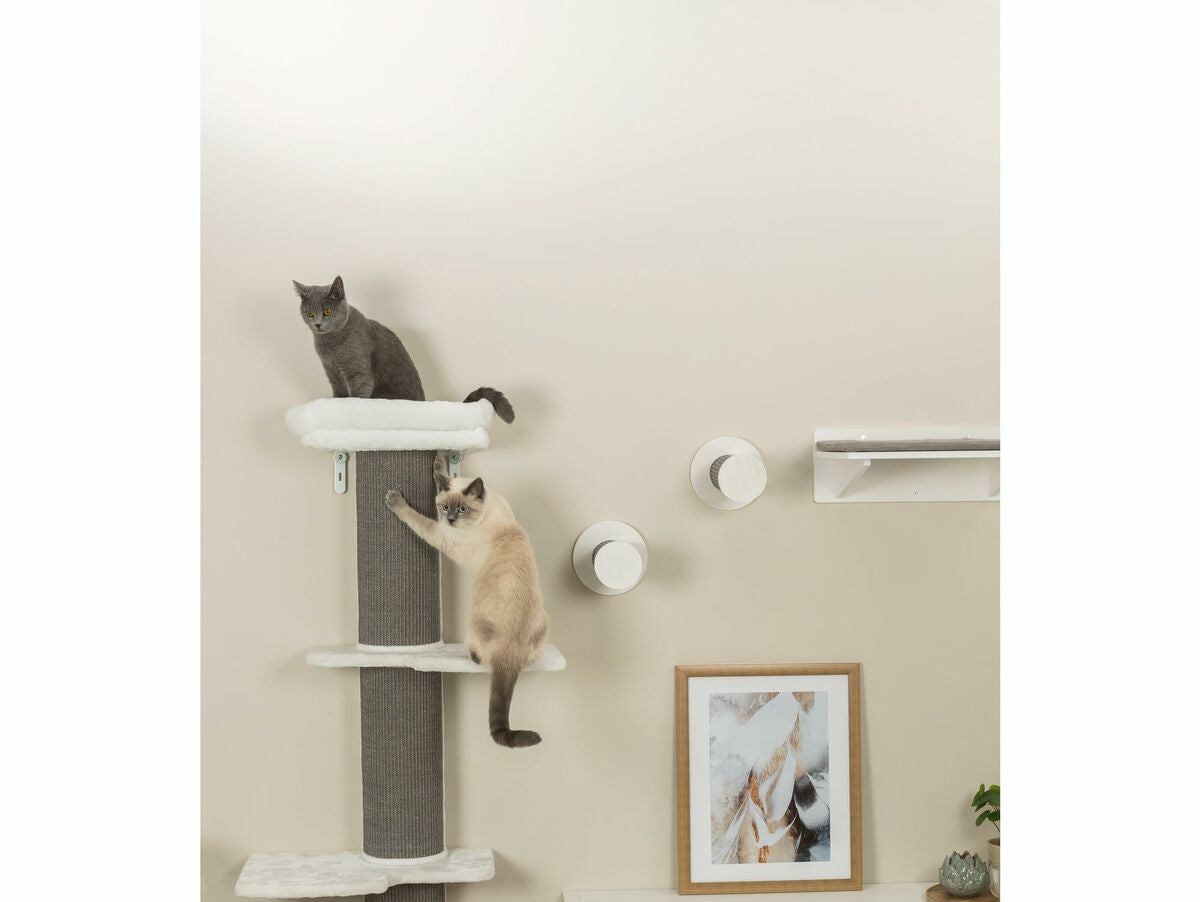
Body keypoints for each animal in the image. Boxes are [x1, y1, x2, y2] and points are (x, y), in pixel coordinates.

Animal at [291, 276, 518, 422]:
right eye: (309, 314)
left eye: (327, 312)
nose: (318, 324)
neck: (330, 345)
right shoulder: (332, 372)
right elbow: (338, 394)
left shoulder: (358, 372)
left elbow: (358, 394)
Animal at [384, 470, 547, 748]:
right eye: (445, 507)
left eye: (462, 509)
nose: (450, 519)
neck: (488, 511)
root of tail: (511, 653)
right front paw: (438, 464)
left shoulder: (442, 536)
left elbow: (415, 518)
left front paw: (394, 500)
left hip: (471, 622)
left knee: (480, 657)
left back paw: (471, 655)